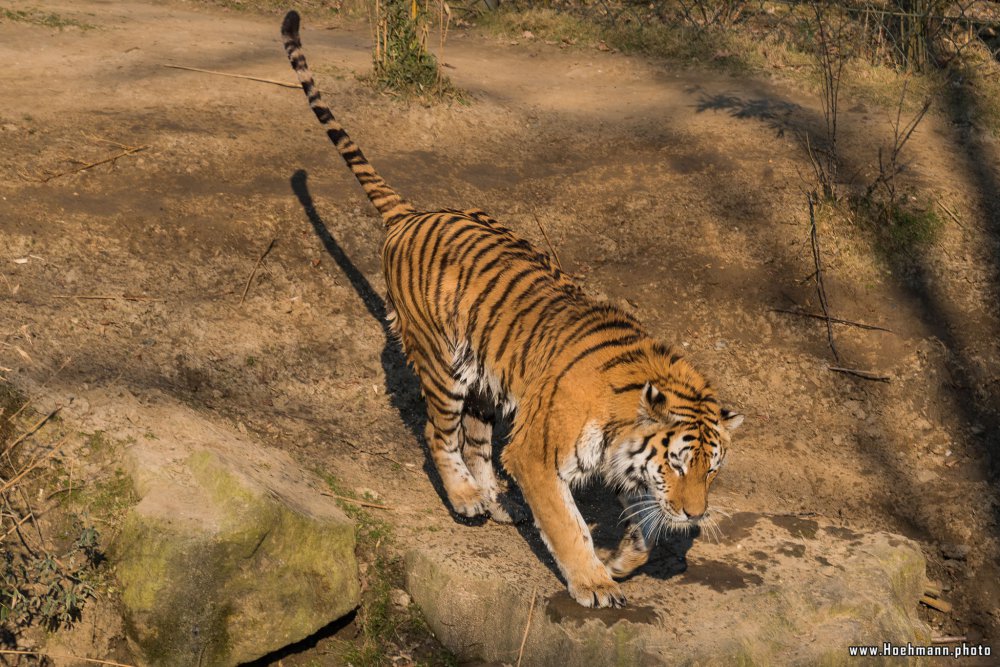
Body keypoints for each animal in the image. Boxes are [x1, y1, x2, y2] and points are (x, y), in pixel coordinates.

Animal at [280, 10, 744, 608]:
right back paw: (465, 499)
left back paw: (500, 501)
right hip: (443, 365)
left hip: (484, 381)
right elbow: (568, 524)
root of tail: (413, 214)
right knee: (439, 435)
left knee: (477, 445)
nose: (695, 516)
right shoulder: (538, 454)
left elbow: (643, 526)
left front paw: (622, 561)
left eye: (713, 469)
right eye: (680, 464)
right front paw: (594, 581)